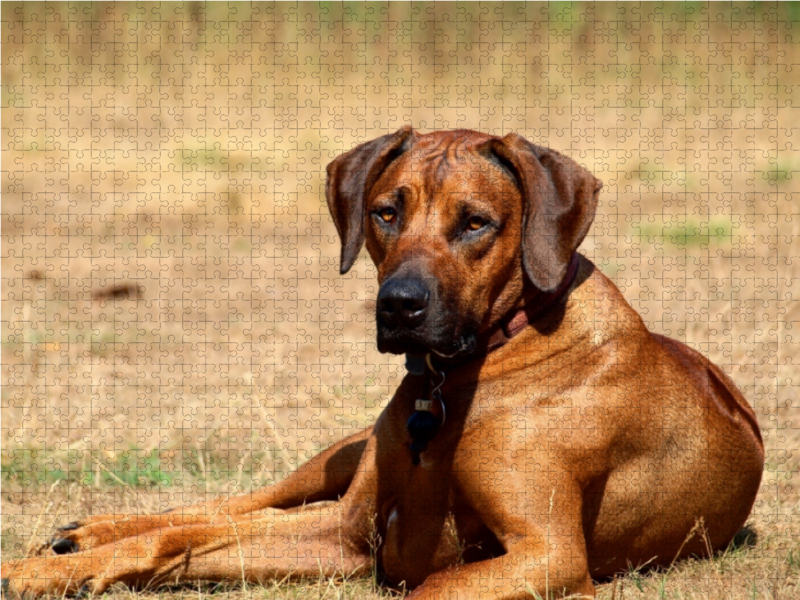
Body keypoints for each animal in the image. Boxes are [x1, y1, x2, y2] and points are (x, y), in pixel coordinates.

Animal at [0, 129, 764, 596]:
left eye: (475, 222)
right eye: (385, 212)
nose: (398, 305)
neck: (465, 370)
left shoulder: (545, 552)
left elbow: (429, 583)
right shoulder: (348, 530)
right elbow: (184, 537)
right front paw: (37, 571)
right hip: (339, 455)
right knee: (235, 504)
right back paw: (87, 533)